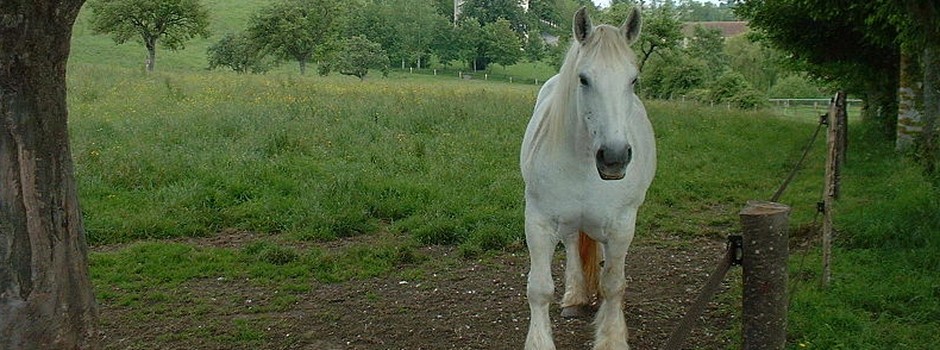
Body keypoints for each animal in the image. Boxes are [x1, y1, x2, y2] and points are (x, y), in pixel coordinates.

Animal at [516, 6, 656, 350]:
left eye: (633, 79)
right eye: (583, 78)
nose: (614, 157)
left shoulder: (621, 224)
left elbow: (614, 284)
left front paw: (612, 336)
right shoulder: (538, 221)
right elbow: (539, 288)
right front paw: (539, 341)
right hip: (568, 222)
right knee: (572, 247)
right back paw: (575, 297)